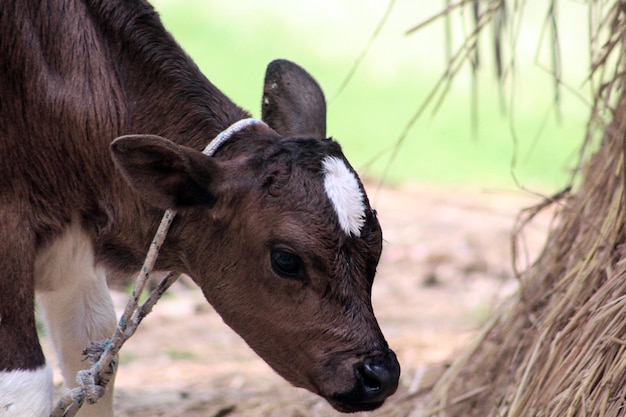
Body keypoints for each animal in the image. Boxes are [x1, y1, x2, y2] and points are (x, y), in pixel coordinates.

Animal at [0, 1, 400, 414]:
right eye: (286, 260)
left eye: (377, 246)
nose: (379, 375)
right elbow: (24, 385)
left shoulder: (71, 247)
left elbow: (93, 353)